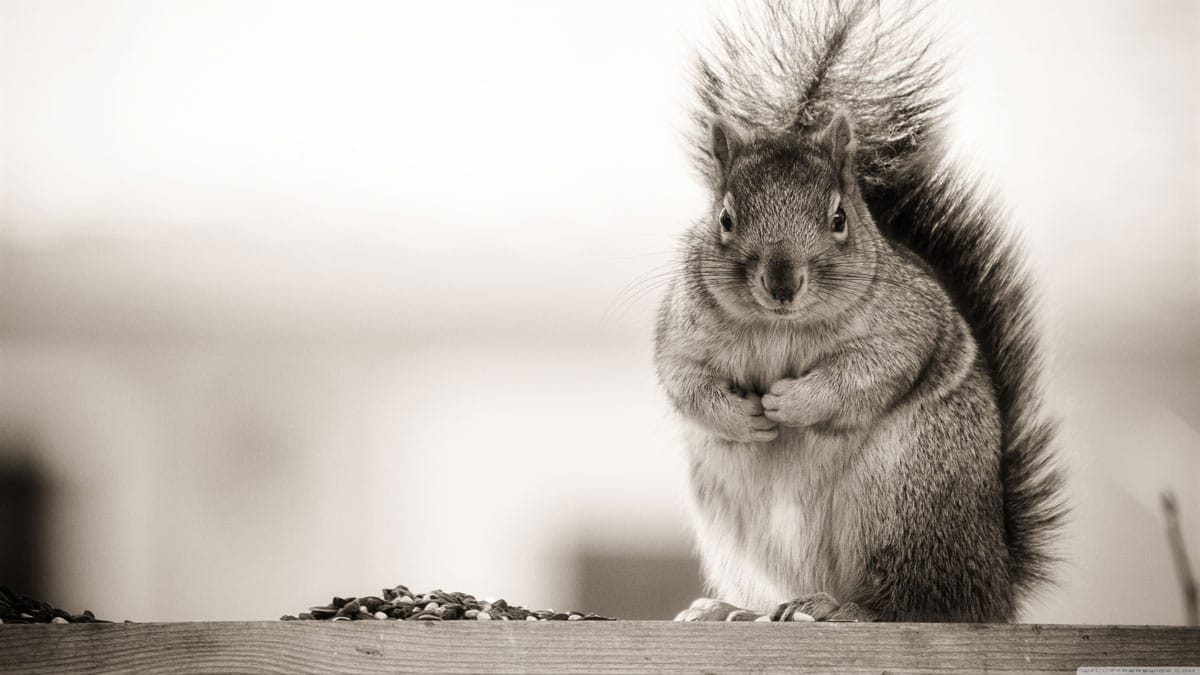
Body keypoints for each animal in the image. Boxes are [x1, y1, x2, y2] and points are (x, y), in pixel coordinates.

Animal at [655, 0, 1065, 622]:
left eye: (839, 218)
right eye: (725, 218)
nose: (782, 283)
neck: (780, 327)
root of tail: (994, 582)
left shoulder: (908, 324)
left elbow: (868, 371)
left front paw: (791, 402)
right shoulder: (682, 329)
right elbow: (684, 380)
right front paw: (744, 417)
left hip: (904, 500)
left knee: (920, 603)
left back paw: (845, 609)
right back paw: (733, 610)